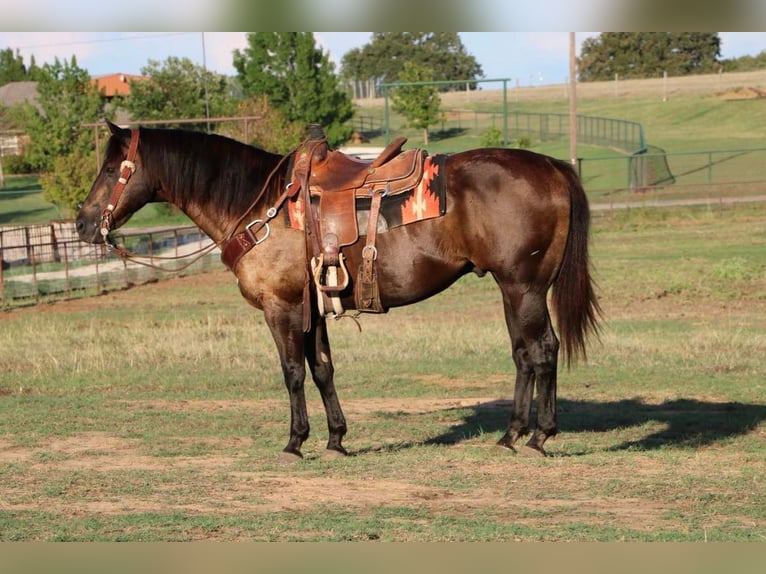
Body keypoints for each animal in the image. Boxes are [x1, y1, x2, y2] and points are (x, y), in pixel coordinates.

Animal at [76, 122, 608, 464]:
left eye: (111, 169)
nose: (82, 223)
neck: (259, 206)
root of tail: (553, 167)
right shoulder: (311, 309)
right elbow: (323, 370)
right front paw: (335, 439)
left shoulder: (281, 308)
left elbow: (292, 373)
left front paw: (295, 443)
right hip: (510, 289)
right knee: (523, 355)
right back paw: (511, 434)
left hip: (525, 288)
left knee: (543, 350)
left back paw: (540, 437)